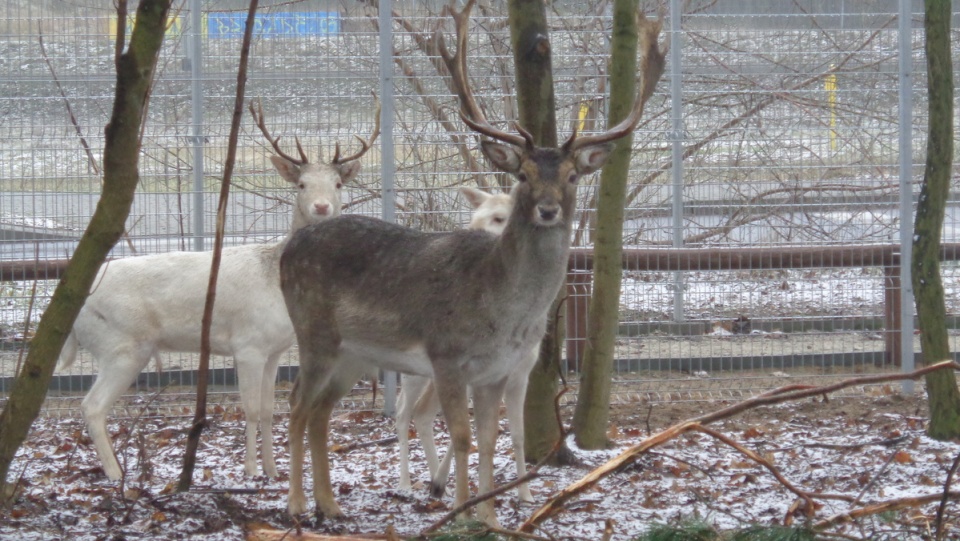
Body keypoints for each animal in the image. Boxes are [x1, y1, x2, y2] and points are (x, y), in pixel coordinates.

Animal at [56, 99, 378, 478]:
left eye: (338, 183)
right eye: (301, 184)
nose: (322, 206)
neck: (276, 281)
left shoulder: (275, 349)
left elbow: (269, 409)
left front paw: (273, 470)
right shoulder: (248, 344)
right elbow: (250, 408)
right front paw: (251, 470)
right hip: (121, 345)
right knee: (91, 405)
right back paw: (117, 475)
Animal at [282, 0, 664, 524]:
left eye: (571, 175)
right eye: (522, 174)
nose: (548, 209)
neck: (500, 311)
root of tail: (287, 249)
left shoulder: (498, 370)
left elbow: (489, 439)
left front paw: (490, 517)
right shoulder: (447, 356)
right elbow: (461, 438)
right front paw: (460, 511)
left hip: (354, 353)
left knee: (320, 412)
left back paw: (331, 506)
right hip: (313, 332)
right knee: (297, 405)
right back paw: (298, 506)